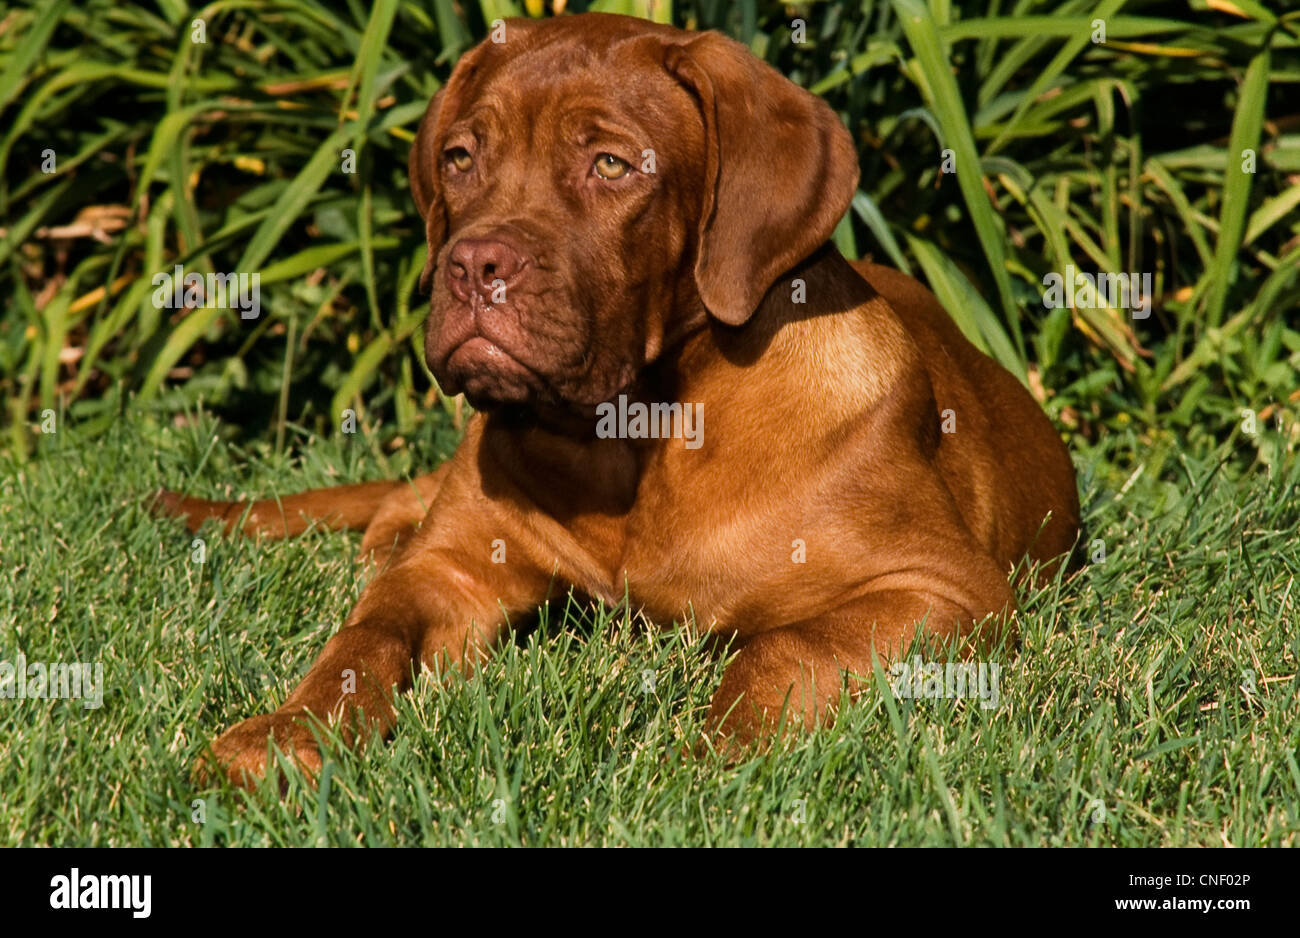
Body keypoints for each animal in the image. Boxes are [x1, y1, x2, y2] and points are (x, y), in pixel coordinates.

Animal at [157, 14, 1081, 779]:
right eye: (461, 158)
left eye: (610, 164)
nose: (473, 266)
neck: (632, 434)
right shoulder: (450, 568)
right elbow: (366, 636)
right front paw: (283, 735)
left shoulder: (943, 591)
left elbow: (783, 648)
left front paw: (708, 764)